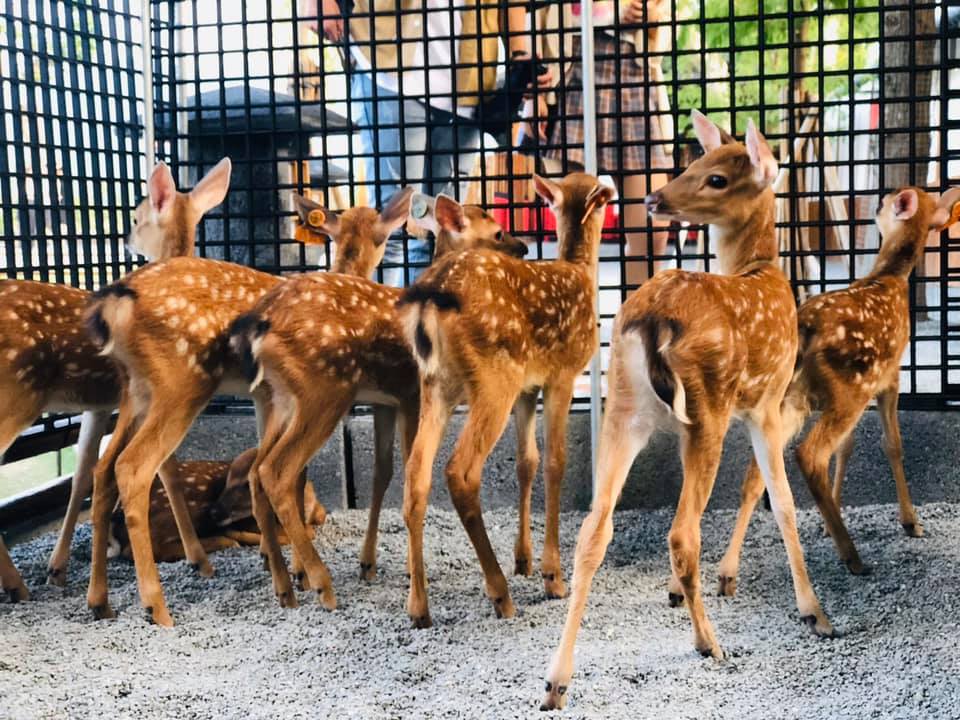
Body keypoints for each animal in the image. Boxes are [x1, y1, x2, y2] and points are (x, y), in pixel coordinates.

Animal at [0, 157, 232, 596]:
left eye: (137, 217)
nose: (126, 239)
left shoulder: (99, 405)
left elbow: (84, 475)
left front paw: (58, 567)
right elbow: (158, 470)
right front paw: (199, 558)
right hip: (17, 397)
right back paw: (17, 585)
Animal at [227, 194, 528, 609]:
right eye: (498, 233)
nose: (524, 247)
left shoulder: (385, 401)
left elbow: (381, 471)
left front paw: (368, 564)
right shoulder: (411, 395)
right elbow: (408, 470)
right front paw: (408, 571)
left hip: (282, 400)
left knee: (258, 470)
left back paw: (285, 586)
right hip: (323, 392)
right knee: (277, 470)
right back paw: (321, 584)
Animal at [394, 172, 614, 629]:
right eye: (603, 201)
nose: (525, 246)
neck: (581, 273)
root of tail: (429, 299)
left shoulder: (528, 388)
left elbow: (527, 461)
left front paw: (524, 560)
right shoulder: (562, 374)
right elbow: (556, 462)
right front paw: (552, 576)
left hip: (437, 385)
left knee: (415, 472)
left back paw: (419, 607)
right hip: (494, 378)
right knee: (459, 471)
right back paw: (500, 593)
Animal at [541, 112, 837, 711]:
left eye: (715, 176)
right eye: (694, 165)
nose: (653, 197)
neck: (761, 270)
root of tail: (651, 320)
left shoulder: (685, 427)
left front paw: (682, 591)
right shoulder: (766, 403)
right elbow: (781, 501)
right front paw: (814, 612)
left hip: (625, 410)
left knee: (595, 529)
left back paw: (556, 681)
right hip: (709, 406)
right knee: (682, 532)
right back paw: (709, 644)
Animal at [711, 184, 960, 599]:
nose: (878, 199)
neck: (888, 278)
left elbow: (848, 447)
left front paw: (834, 516)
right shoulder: (890, 375)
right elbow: (892, 444)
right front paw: (910, 521)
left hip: (790, 399)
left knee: (759, 472)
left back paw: (727, 574)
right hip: (847, 391)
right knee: (810, 454)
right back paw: (852, 556)